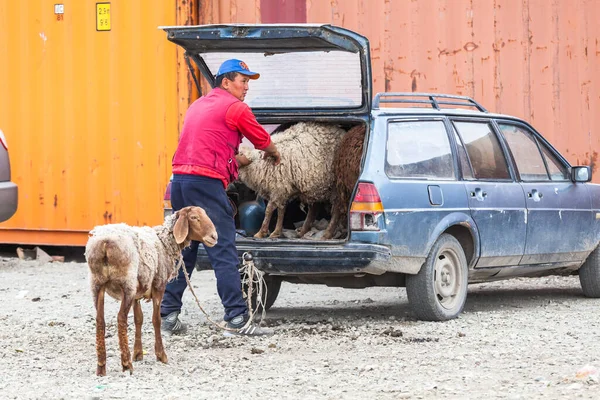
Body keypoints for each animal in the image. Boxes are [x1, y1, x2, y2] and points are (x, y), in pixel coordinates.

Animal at [83, 205, 217, 376]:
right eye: (194, 217)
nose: (214, 237)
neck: (164, 241)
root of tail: (105, 243)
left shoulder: (138, 291)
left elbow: (138, 319)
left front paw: (138, 354)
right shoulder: (159, 285)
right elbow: (156, 319)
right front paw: (160, 355)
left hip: (97, 283)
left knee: (100, 320)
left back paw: (101, 367)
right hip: (126, 282)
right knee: (121, 319)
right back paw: (126, 364)